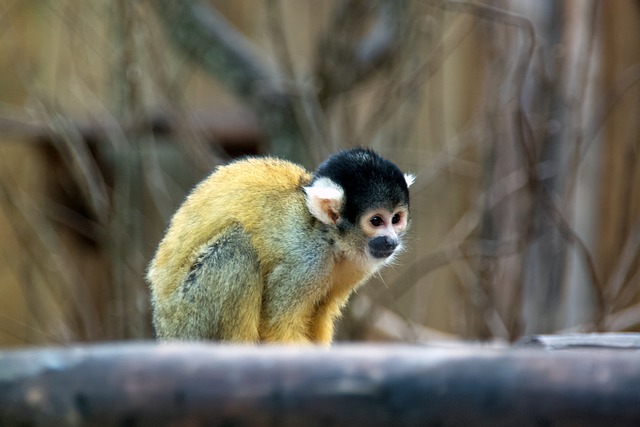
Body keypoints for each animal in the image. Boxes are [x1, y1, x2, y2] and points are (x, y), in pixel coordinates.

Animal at [146, 147, 414, 344]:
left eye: (396, 219)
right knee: (236, 248)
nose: (391, 240)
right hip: (188, 319)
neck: (330, 238)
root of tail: (164, 327)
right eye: (376, 221)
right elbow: (279, 327)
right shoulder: (308, 262)